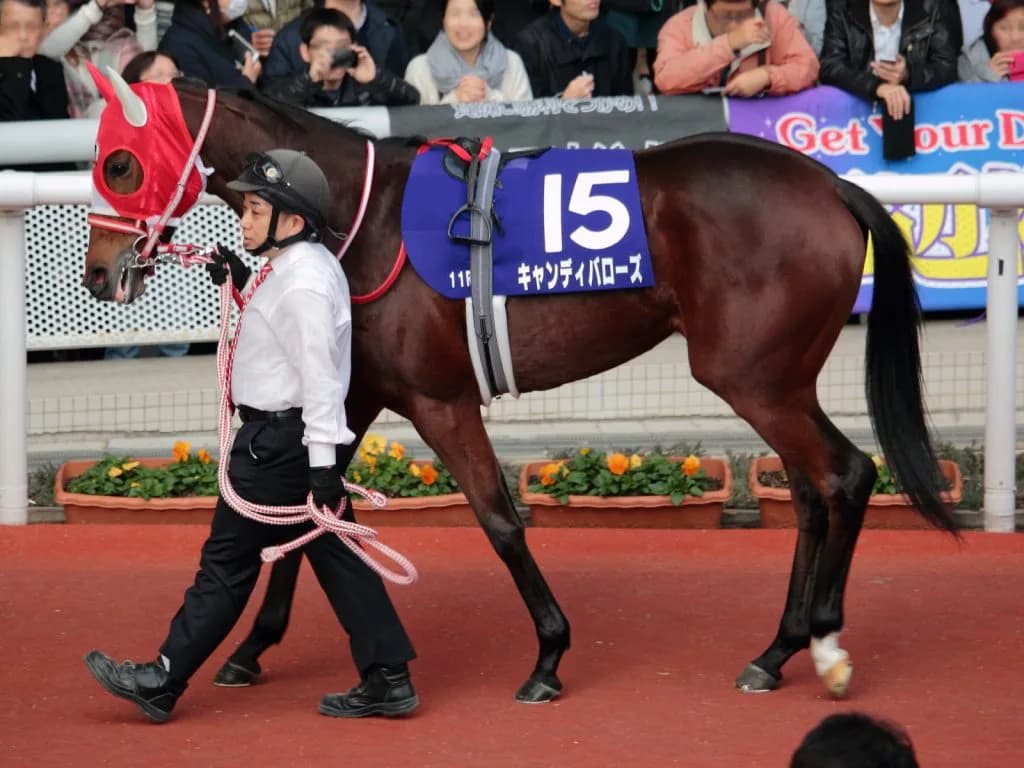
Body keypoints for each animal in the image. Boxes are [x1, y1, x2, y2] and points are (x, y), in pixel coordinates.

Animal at [81, 73, 957, 704]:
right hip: (776, 377)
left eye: (119, 164)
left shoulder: (439, 399)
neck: (362, 220)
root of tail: (829, 185)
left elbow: (499, 521)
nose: (97, 273)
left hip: (753, 376)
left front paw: (548, 655)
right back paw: (775, 652)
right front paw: (250, 650)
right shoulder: (354, 391)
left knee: (846, 475)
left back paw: (827, 646)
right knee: (810, 492)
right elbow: (311, 514)